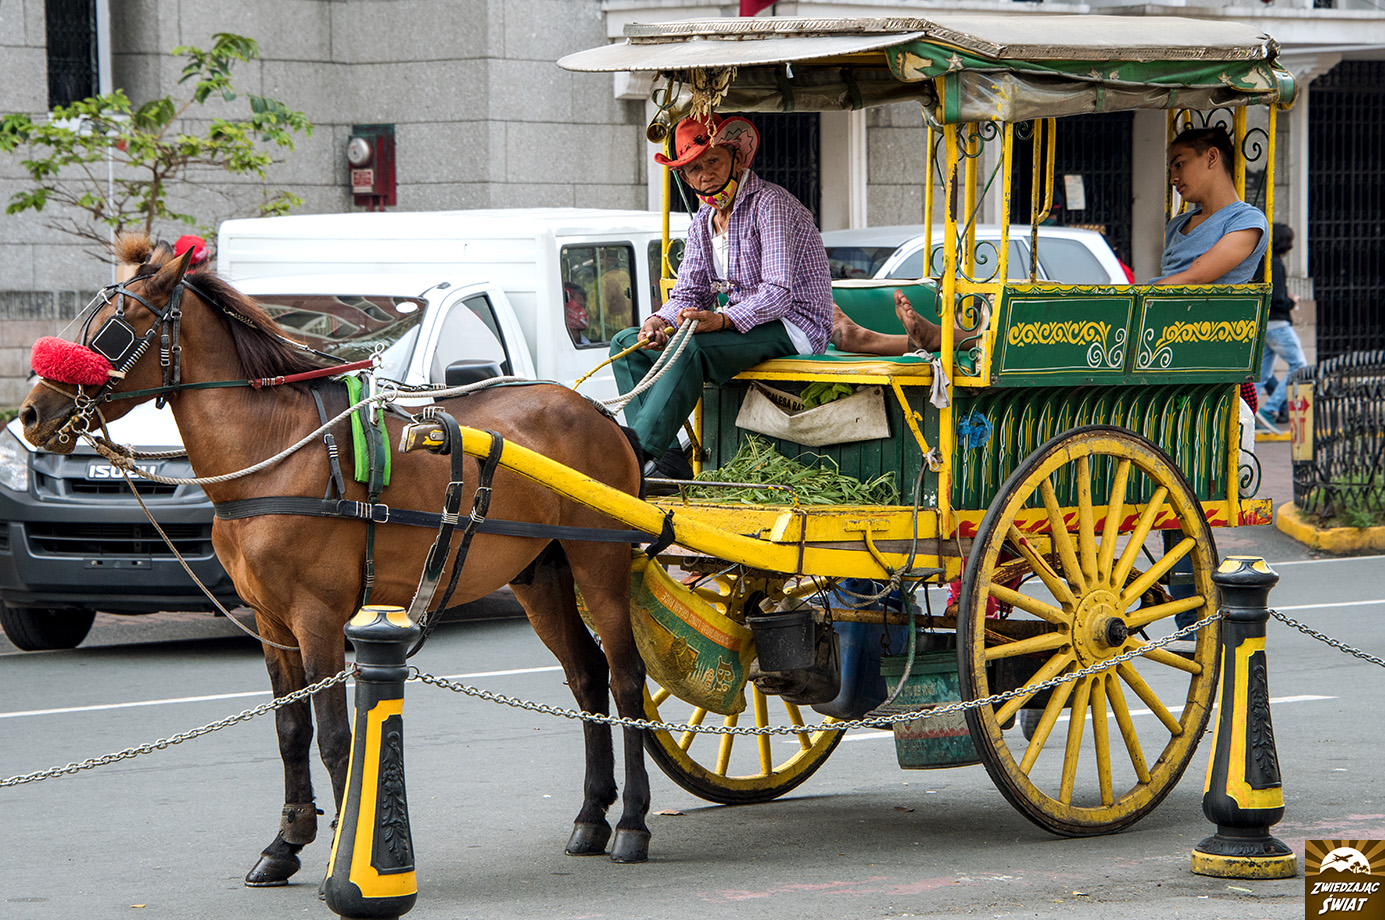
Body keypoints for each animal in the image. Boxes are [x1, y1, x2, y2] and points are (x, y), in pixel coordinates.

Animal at [18, 237, 655, 882]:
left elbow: (332, 733)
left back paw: (632, 822)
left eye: (114, 327)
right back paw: (592, 815)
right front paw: (286, 841)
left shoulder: (317, 617)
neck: (276, 450)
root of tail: (596, 410)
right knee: (587, 674)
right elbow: (290, 729)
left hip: (599, 566)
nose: (30, 414)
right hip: (540, 575)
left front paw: (344, 852)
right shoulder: (273, 622)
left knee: (625, 678)